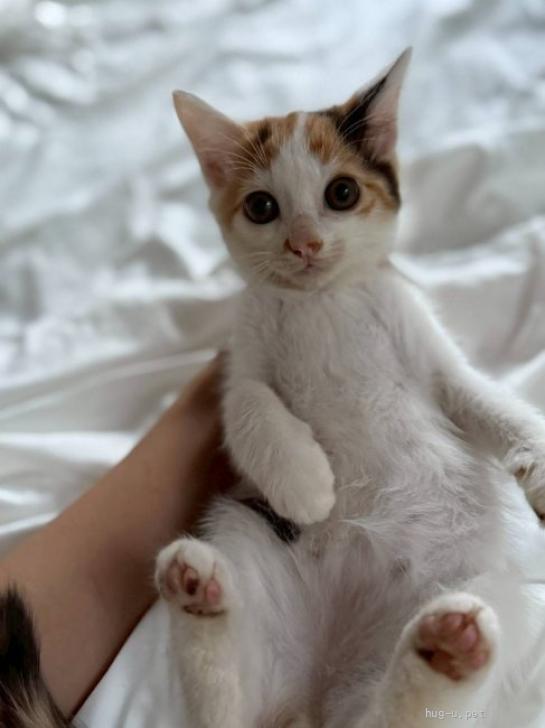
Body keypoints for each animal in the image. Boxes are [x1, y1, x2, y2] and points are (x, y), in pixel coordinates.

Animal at [156, 49, 545, 728]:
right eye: (261, 207)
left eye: (342, 193)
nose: (305, 243)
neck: (323, 301)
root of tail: (320, 692)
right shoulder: (244, 354)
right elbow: (247, 404)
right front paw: (305, 484)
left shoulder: (428, 348)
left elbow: (480, 396)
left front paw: (538, 465)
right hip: (247, 533)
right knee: (227, 713)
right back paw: (196, 590)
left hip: (504, 598)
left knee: (397, 713)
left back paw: (445, 650)